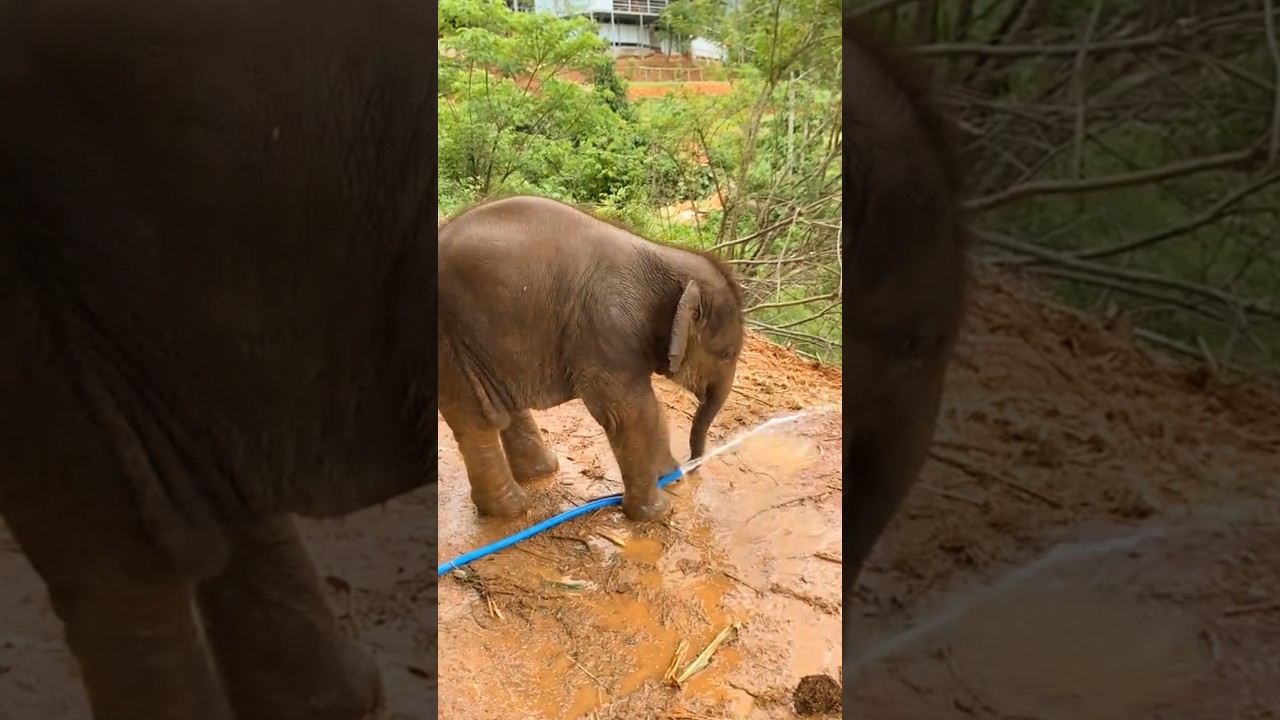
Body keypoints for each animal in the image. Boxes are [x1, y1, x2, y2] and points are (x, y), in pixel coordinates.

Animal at [438, 195, 745, 522]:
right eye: (726, 354)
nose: (691, 470)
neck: (666, 257)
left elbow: (648, 410)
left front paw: (669, 478)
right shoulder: (608, 328)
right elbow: (630, 412)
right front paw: (657, 511)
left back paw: (541, 472)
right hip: (449, 339)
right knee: (476, 420)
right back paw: (512, 509)